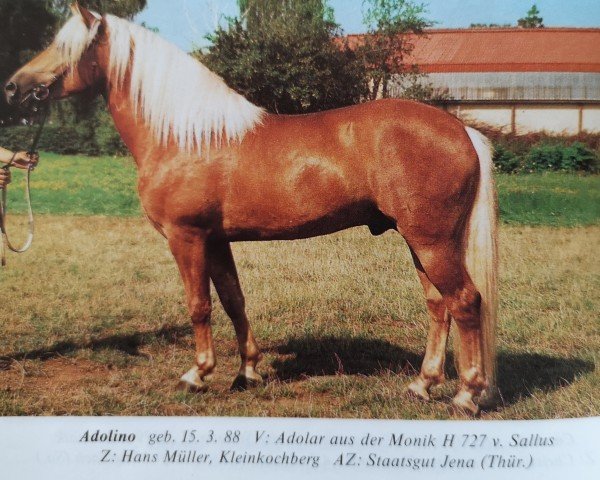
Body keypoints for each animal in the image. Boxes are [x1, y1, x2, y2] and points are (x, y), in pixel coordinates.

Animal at [5, 3, 496, 414]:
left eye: (64, 46)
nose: (13, 88)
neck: (185, 137)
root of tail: (461, 130)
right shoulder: (217, 240)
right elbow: (233, 301)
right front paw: (248, 371)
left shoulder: (187, 238)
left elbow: (199, 305)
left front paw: (197, 374)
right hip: (420, 244)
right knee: (438, 306)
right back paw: (421, 385)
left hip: (432, 242)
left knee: (465, 302)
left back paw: (466, 395)